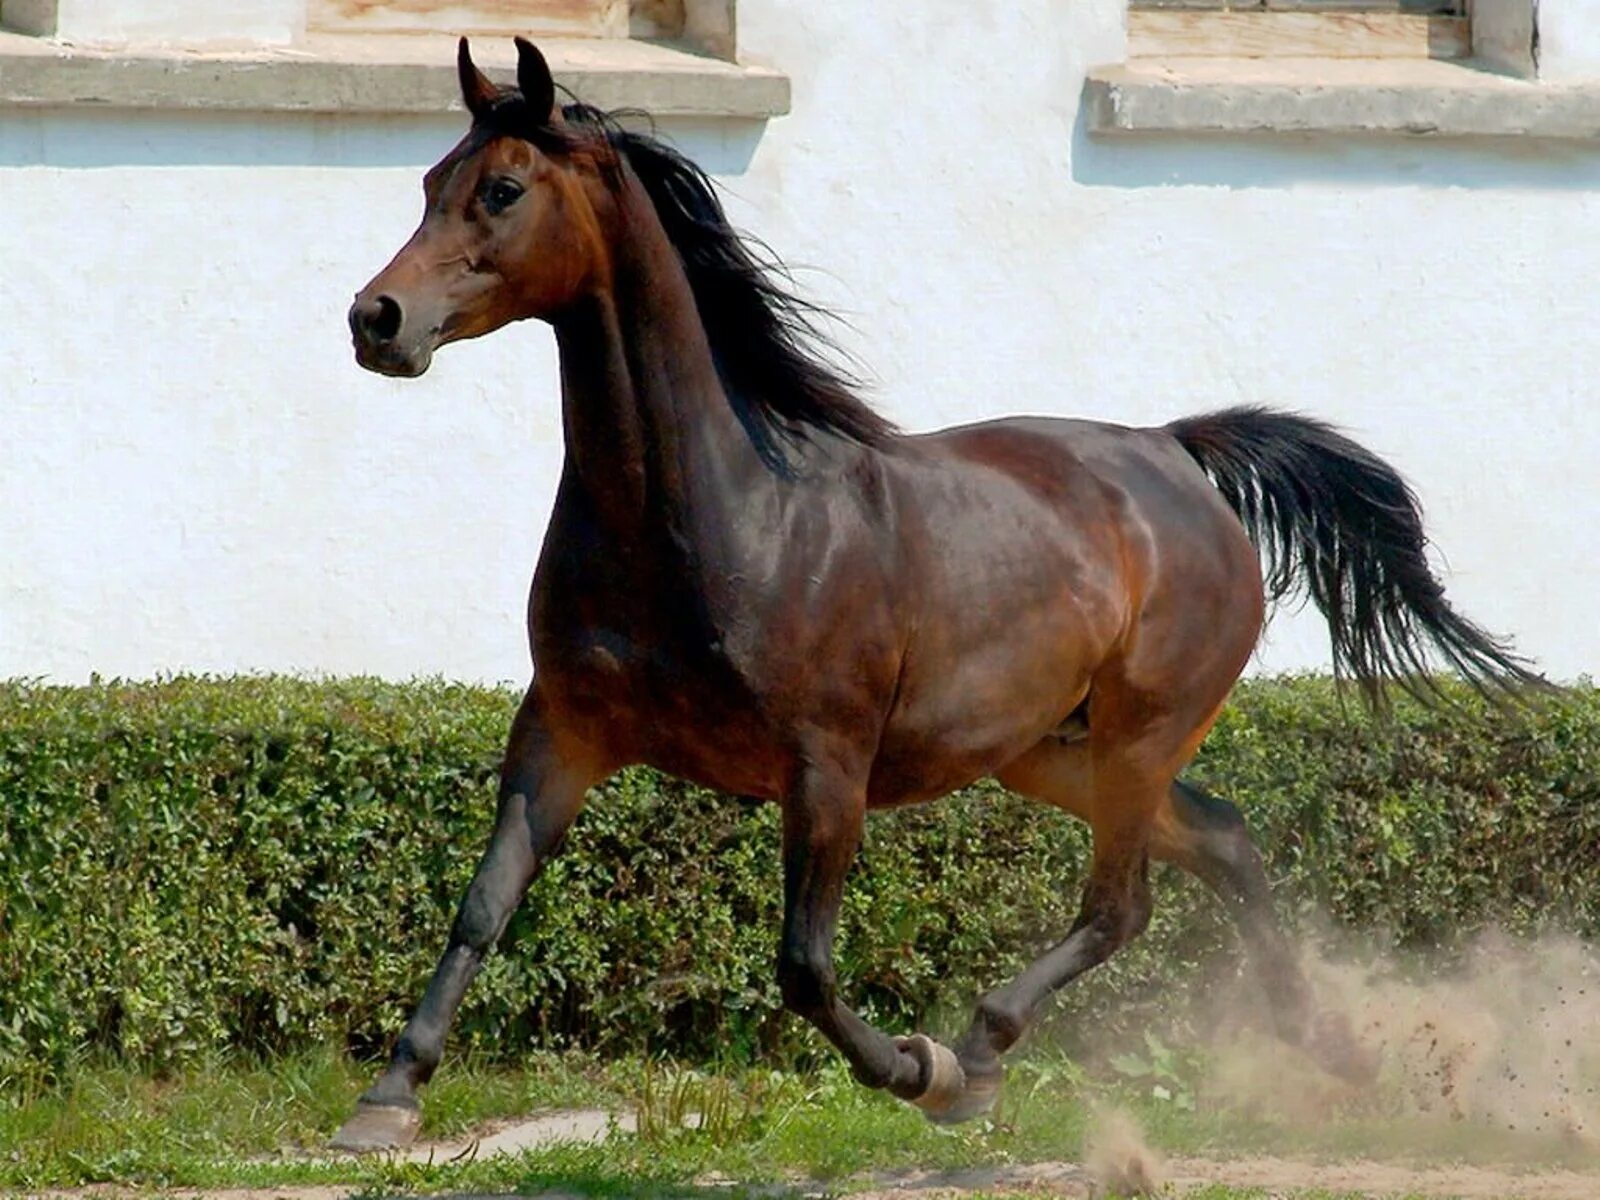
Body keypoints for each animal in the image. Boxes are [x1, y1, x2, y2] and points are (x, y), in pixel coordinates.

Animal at [324, 32, 1536, 1152]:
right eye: (430, 181)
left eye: (502, 189)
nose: (376, 321)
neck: (716, 515)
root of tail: (1174, 455)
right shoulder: (564, 732)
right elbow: (483, 905)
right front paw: (389, 1098)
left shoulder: (828, 766)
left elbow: (805, 965)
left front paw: (918, 1071)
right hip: (1048, 750)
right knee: (1224, 842)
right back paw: (1328, 1047)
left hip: (1140, 733)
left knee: (1122, 904)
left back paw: (985, 1053)